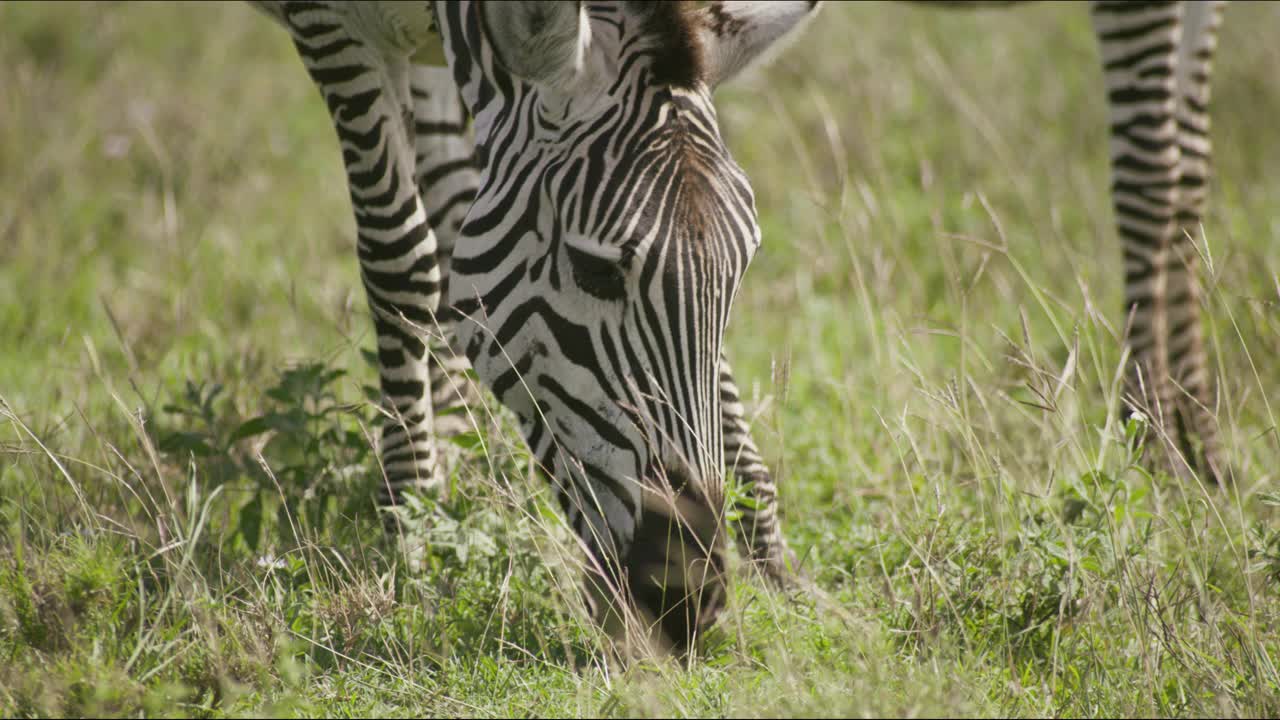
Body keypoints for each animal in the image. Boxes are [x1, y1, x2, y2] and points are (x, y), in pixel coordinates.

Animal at [252, 0, 819, 650]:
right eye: (594, 269)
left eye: (741, 269)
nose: (690, 595)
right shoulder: (333, 29)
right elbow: (400, 254)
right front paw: (410, 529)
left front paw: (778, 566)